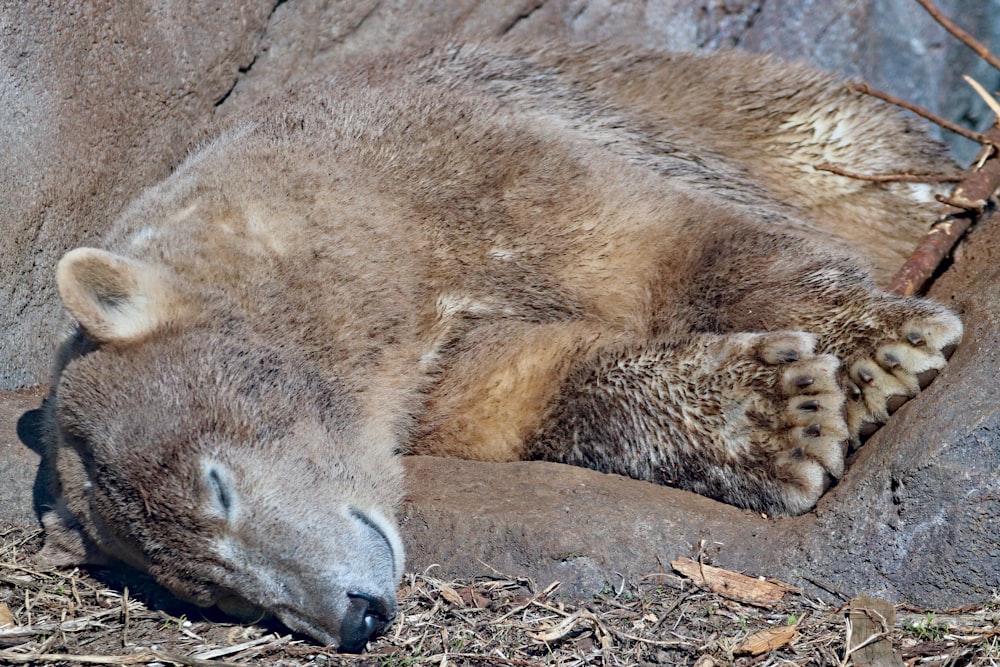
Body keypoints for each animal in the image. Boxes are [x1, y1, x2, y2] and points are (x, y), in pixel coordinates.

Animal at [29, 43, 960, 652]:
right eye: (215, 593)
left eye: (217, 486)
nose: (351, 616)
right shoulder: (432, 374)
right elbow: (524, 386)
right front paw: (771, 418)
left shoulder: (452, 160)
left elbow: (665, 244)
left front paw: (875, 351)